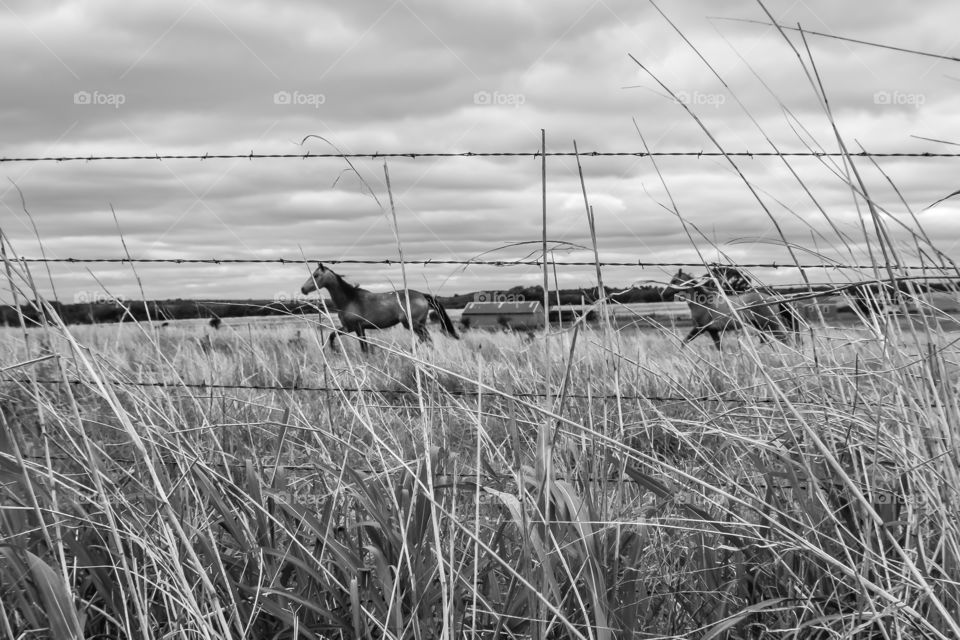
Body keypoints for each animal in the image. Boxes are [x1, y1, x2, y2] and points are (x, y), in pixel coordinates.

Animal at [299, 263, 459, 353]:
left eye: (316, 275)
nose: (303, 289)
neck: (349, 299)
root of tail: (422, 296)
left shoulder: (357, 328)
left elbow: (364, 348)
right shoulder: (349, 328)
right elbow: (332, 335)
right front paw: (335, 350)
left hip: (412, 324)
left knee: (427, 338)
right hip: (418, 324)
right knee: (426, 339)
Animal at [664, 269, 800, 350]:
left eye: (674, 280)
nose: (663, 294)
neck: (703, 304)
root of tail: (774, 298)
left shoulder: (700, 328)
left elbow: (683, 342)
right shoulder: (713, 331)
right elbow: (719, 348)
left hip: (770, 324)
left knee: (785, 339)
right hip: (760, 326)